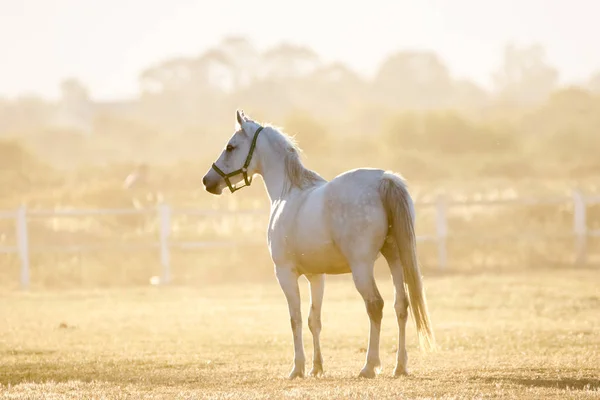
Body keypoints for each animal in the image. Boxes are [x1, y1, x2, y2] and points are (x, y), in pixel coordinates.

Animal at [203, 110, 436, 378]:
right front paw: (317, 367)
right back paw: (400, 366)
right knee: (402, 305)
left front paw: (297, 368)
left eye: (230, 147)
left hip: (362, 267)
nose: (207, 181)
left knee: (375, 305)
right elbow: (314, 320)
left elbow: (295, 318)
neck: (287, 193)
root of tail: (384, 180)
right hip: (395, 257)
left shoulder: (285, 273)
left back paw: (369, 365)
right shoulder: (316, 276)